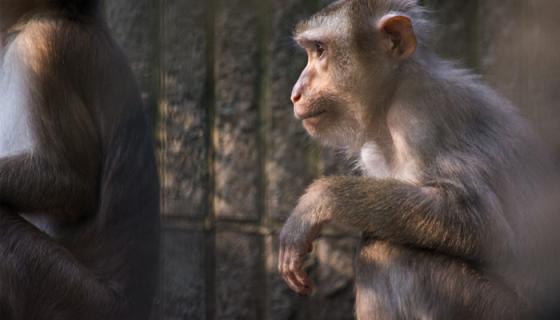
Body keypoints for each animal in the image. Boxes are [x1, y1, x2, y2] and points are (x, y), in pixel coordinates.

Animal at [278, 0, 556, 318]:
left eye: (320, 50)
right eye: (312, 51)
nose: (295, 93)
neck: (392, 96)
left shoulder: (422, 119)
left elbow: (480, 222)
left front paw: (318, 200)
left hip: (495, 307)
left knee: (386, 250)